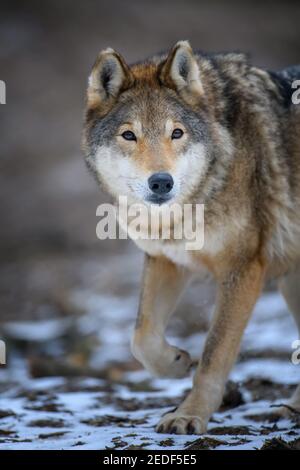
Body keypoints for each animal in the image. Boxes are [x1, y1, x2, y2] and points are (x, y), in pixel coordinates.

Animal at [83, 39, 300, 434]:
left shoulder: (243, 270)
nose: (161, 182)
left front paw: (190, 414)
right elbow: (141, 338)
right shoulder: (166, 260)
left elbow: (215, 354)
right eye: (129, 135)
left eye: (177, 133)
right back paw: (290, 410)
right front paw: (176, 362)